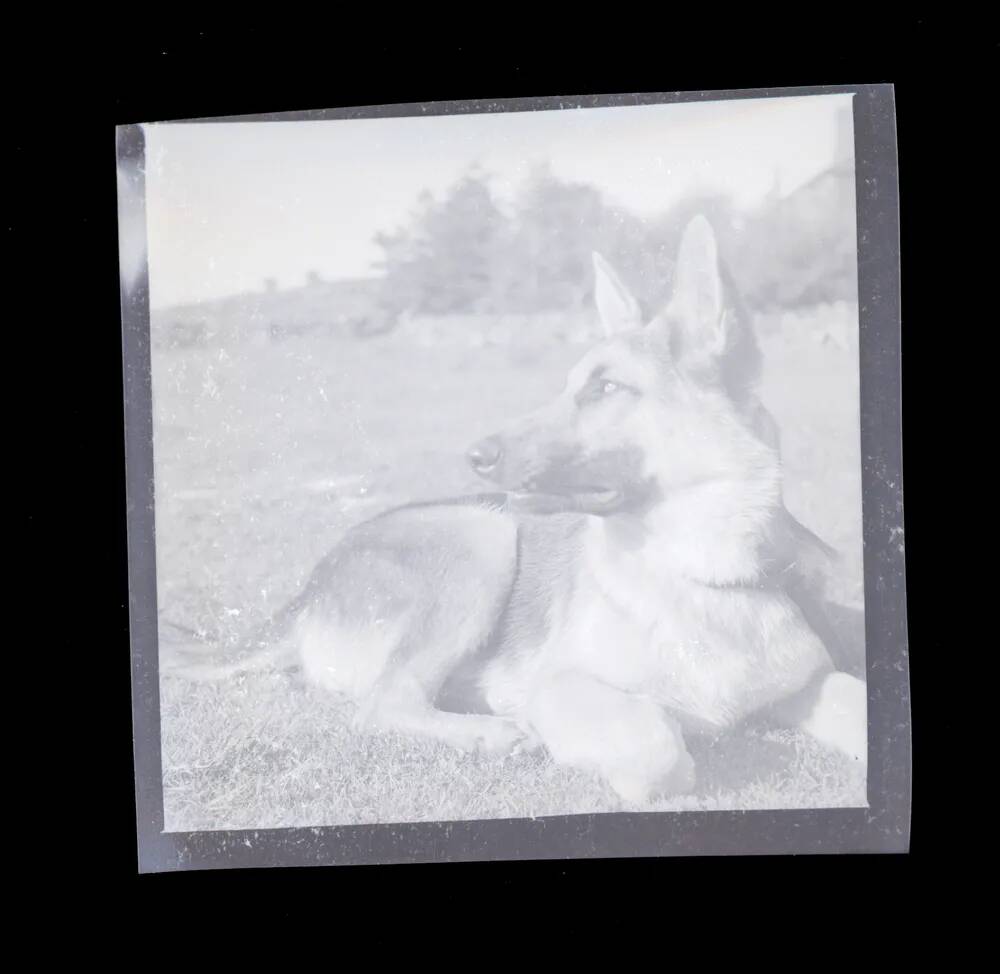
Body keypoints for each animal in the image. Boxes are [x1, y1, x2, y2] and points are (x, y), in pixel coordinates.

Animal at [166, 217, 868, 804]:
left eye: (605, 388)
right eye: (571, 385)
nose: (474, 455)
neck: (700, 569)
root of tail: (310, 588)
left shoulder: (812, 684)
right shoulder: (563, 685)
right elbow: (656, 746)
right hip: (483, 536)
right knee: (382, 702)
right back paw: (490, 732)